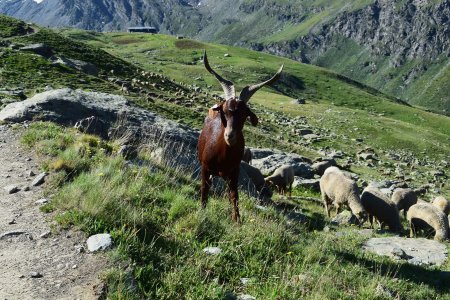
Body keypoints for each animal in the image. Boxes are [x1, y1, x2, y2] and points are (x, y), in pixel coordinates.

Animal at [196, 50, 282, 221]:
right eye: (224, 111)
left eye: (244, 114)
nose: (230, 136)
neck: (222, 155)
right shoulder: (205, 168)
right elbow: (204, 191)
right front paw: (202, 211)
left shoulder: (234, 173)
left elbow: (234, 196)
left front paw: (237, 220)